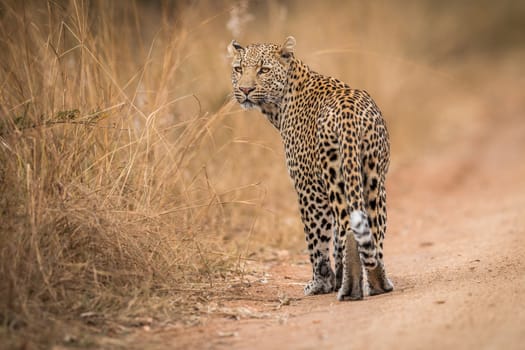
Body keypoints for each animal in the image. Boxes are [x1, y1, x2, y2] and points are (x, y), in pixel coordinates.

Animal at [227, 36, 390, 300]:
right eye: (239, 69)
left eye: (264, 70)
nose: (245, 90)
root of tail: (348, 115)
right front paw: (334, 279)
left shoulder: (308, 188)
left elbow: (317, 243)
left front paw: (320, 284)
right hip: (373, 178)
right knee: (373, 229)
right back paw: (377, 283)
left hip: (334, 180)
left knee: (346, 229)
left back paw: (350, 287)